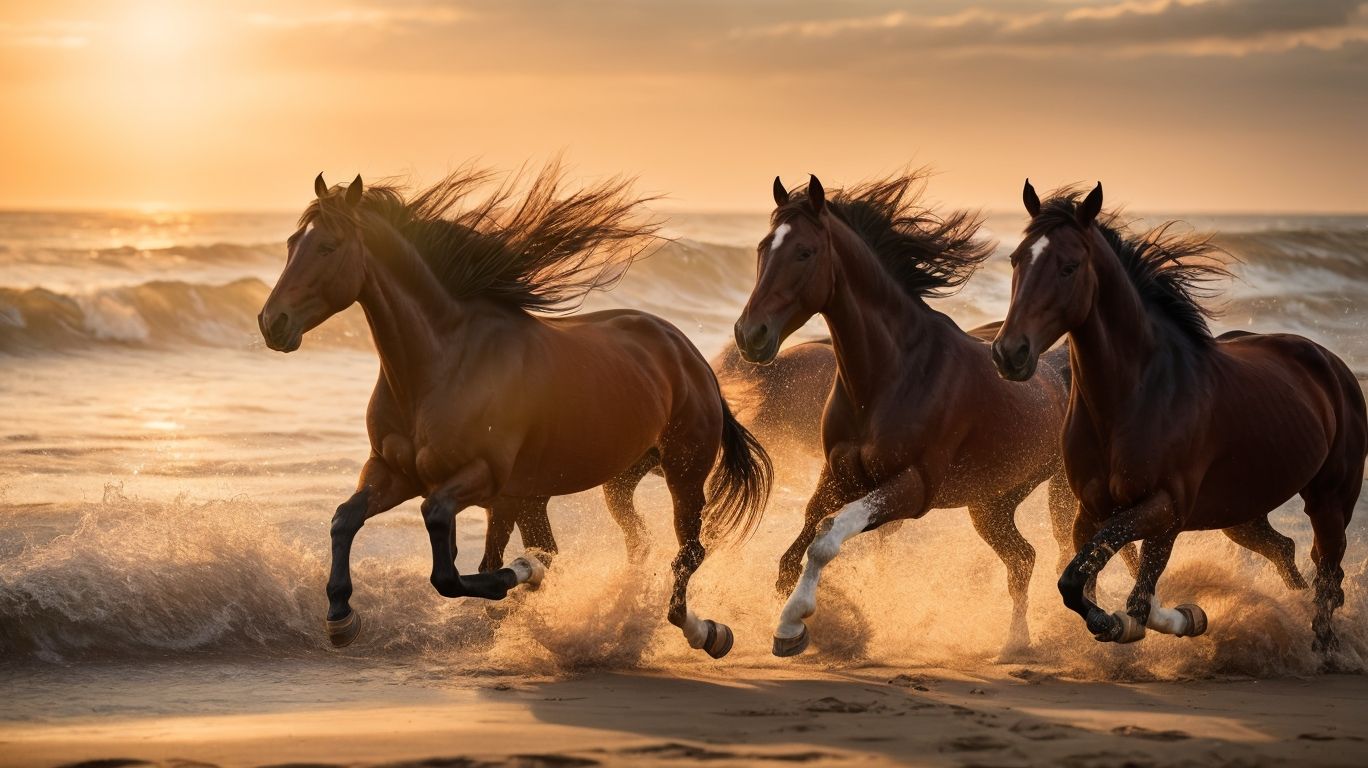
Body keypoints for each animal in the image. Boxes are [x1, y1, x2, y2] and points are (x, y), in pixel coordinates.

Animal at [258, 167, 772, 658]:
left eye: (327, 247)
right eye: (291, 244)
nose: (272, 323)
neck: (442, 364)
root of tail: (688, 355)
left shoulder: (483, 478)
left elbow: (447, 553)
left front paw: (524, 573)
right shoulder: (394, 471)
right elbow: (345, 518)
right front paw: (341, 617)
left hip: (682, 474)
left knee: (688, 553)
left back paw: (707, 632)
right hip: (610, 482)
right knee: (634, 543)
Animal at [733, 172, 1078, 658]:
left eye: (804, 251)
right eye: (764, 247)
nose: (750, 335)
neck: (892, 376)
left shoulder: (913, 488)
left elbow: (826, 537)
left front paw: (794, 624)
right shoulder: (838, 476)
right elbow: (792, 554)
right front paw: (801, 623)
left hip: (1063, 494)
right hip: (991, 504)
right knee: (1023, 559)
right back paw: (1016, 644)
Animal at [991, 180, 1366, 653]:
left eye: (1069, 267)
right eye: (1016, 258)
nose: (1010, 353)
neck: (1136, 397)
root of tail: (1331, 363)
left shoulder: (1165, 509)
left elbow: (1121, 592)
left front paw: (1172, 619)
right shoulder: (1093, 510)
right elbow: (1082, 583)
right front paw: (1145, 622)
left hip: (1330, 500)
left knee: (1327, 579)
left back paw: (1322, 649)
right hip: (1243, 514)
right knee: (1286, 552)